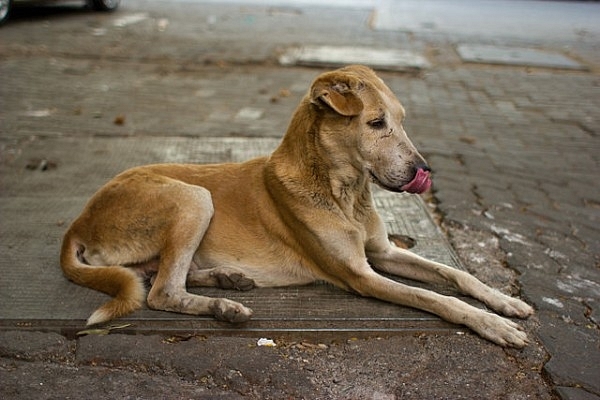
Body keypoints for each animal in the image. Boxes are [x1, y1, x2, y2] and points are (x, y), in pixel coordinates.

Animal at [61, 65, 532, 346]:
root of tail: (78, 222)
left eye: (401, 121)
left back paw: (227, 281)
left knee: (162, 275)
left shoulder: (383, 252)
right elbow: (436, 298)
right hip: (193, 197)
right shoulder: (360, 275)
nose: (424, 170)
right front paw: (492, 324)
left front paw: (503, 302)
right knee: (161, 292)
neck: (346, 194)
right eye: (376, 123)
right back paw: (224, 307)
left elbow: (455, 275)